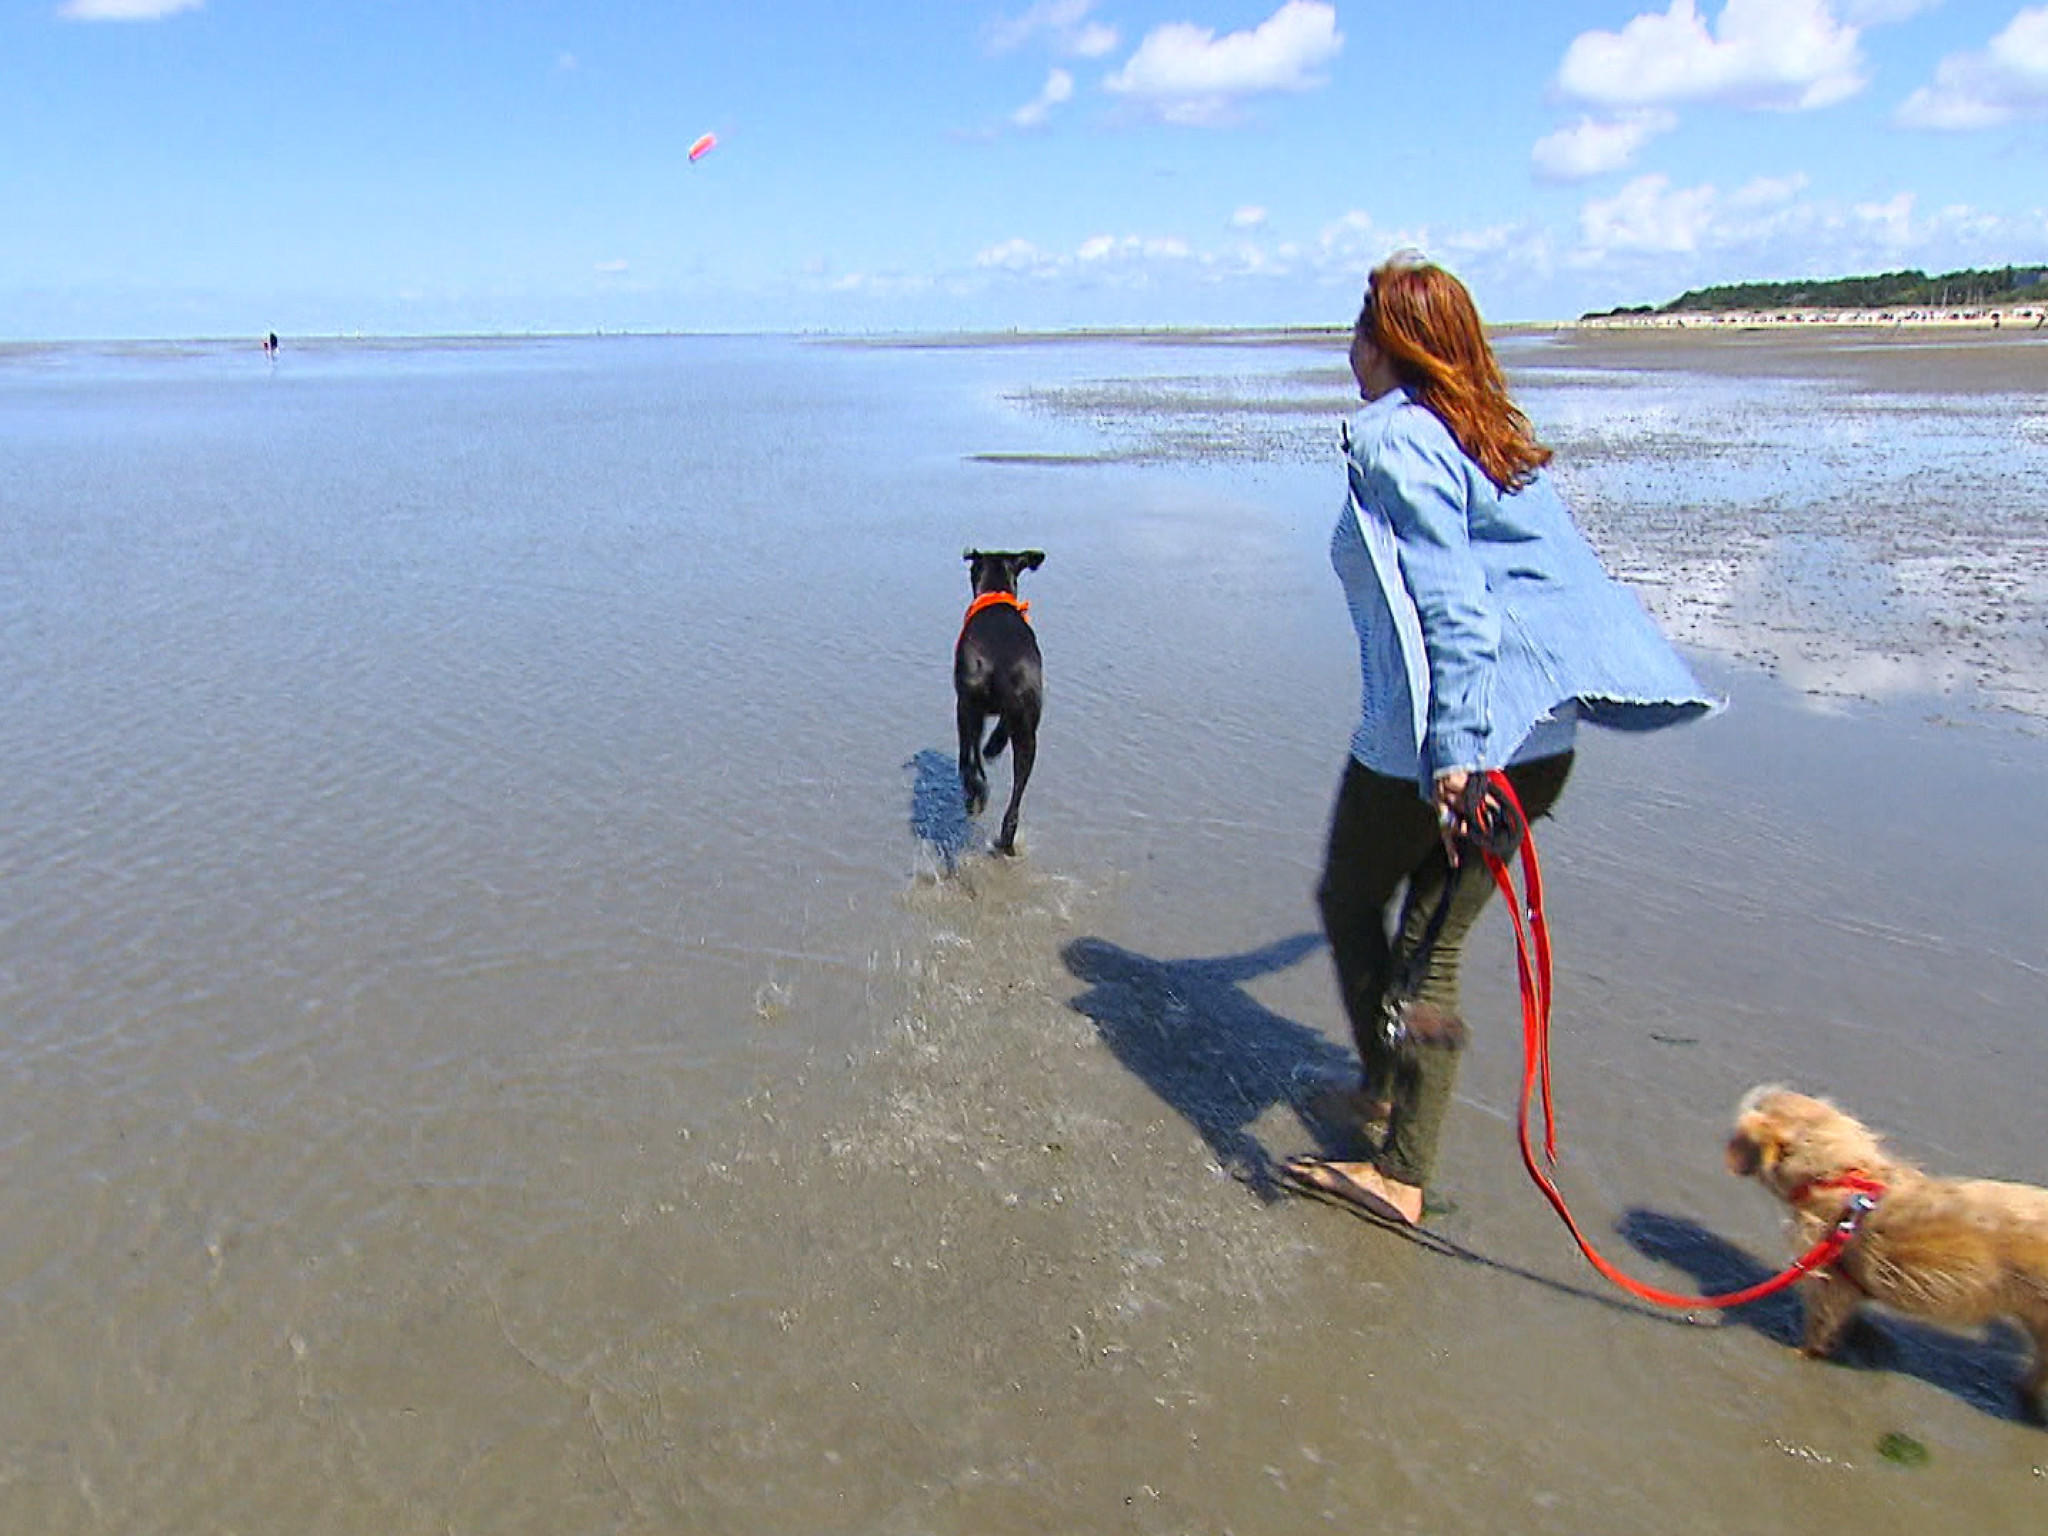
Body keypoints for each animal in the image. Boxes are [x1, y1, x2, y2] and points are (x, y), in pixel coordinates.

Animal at [954, 548, 1040, 860]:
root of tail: (1001, 665)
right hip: (1027, 733)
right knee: (1015, 800)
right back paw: (1005, 840)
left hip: (968, 706)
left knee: (969, 758)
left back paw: (975, 794)